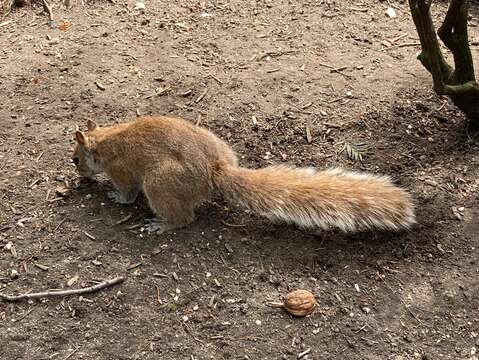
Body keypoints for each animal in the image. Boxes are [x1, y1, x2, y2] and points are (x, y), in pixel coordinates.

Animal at [72, 116, 416, 233]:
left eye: (76, 159)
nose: (79, 175)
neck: (108, 140)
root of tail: (215, 170)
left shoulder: (121, 171)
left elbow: (128, 193)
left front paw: (116, 197)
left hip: (160, 184)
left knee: (185, 218)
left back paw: (163, 224)